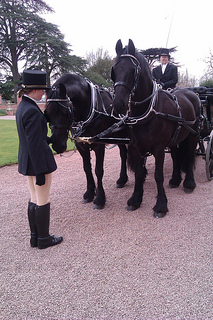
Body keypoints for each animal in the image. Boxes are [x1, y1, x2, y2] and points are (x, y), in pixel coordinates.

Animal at [45, 74, 128, 210]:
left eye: (66, 112)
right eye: (47, 113)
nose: (57, 145)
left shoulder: (99, 145)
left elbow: (98, 170)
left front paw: (99, 199)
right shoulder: (81, 145)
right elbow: (87, 168)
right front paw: (89, 193)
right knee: (123, 154)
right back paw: (122, 179)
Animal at [110, 38, 201, 216]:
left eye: (133, 70)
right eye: (114, 69)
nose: (118, 104)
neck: (148, 110)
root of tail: (192, 93)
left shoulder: (158, 148)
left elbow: (158, 175)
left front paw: (161, 205)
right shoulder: (135, 147)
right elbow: (139, 174)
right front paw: (135, 200)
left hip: (192, 135)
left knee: (189, 155)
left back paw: (189, 183)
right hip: (175, 139)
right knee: (176, 156)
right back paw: (175, 180)